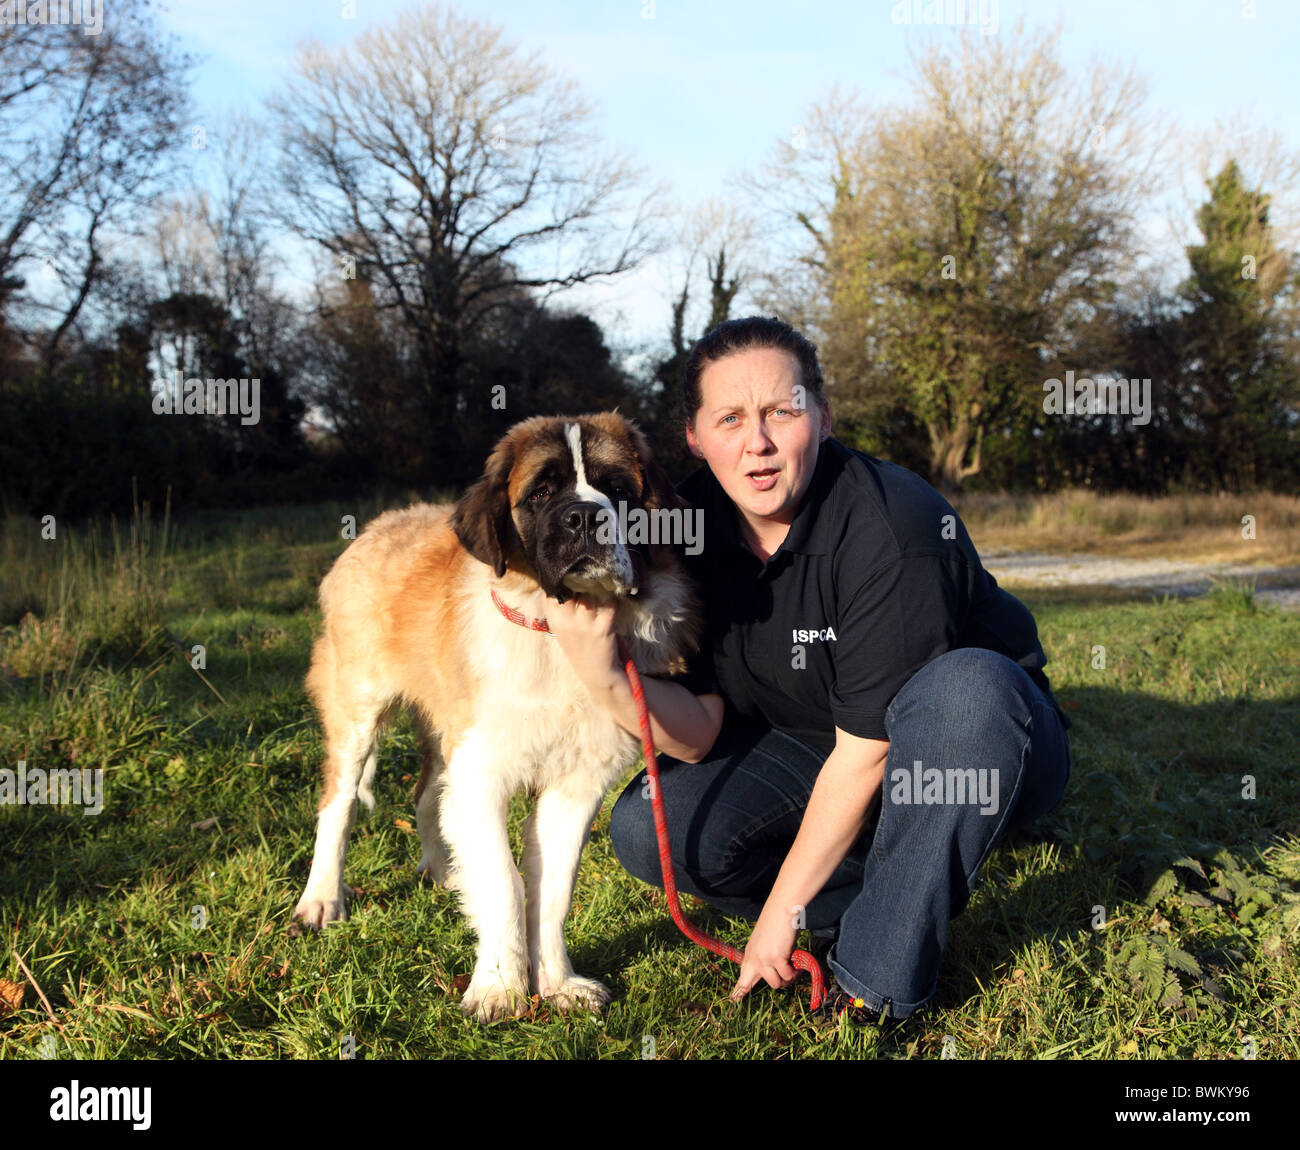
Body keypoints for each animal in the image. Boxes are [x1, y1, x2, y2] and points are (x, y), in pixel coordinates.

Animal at [292, 408, 702, 1018]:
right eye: (542, 493)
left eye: (619, 491)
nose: (586, 516)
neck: (555, 634)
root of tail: (378, 527)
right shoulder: (482, 774)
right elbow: (505, 881)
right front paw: (499, 988)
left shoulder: (574, 787)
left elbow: (553, 888)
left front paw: (556, 982)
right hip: (358, 711)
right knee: (337, 806)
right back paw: (321, 899)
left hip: (446, 733)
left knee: (427, 796)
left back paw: (444, 873)